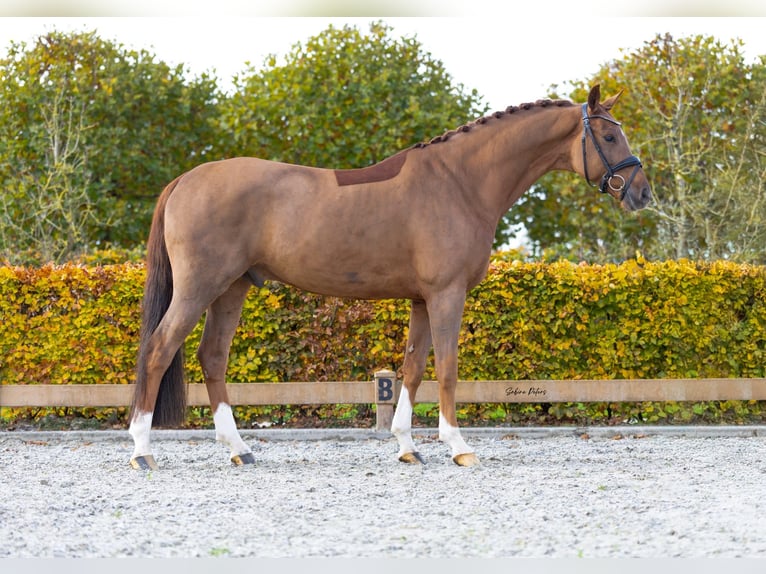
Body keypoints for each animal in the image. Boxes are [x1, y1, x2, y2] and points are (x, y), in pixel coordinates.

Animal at [128, 84, 652, 470]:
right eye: (609, 138)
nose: (642, 193)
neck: (461, 181)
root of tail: (185, 180)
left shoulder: (422, 298)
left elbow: (413, 367)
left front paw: (407, 446)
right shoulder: (446, 295)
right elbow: (447, 368)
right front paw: (459, 447)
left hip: (232, 288)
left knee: (212, 356)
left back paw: (239, 449)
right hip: (199, 287)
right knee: (158, 349)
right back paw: (142, 451)